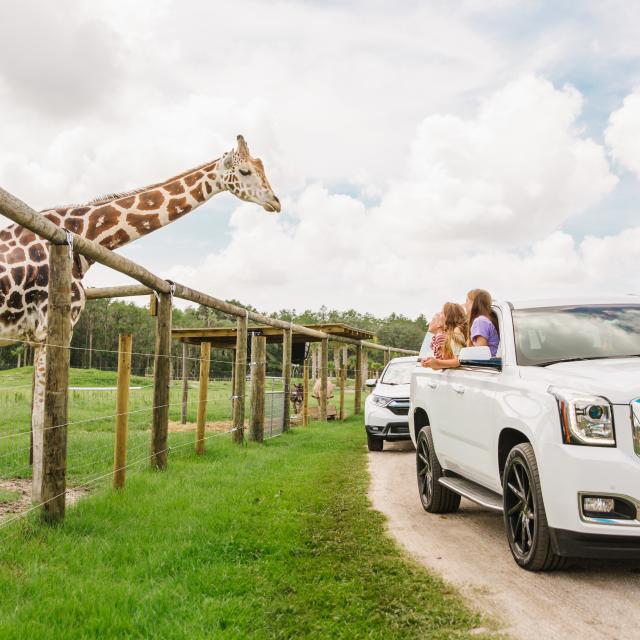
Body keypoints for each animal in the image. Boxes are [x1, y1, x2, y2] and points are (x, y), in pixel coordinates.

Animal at [0, 136, 280, 504]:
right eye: (246, 170)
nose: (276, 202)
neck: (82, 236)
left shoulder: (36, 336)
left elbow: (38, 419)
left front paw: (38, 498)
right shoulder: (53, 326)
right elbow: (41, 419)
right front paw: (42, 504)